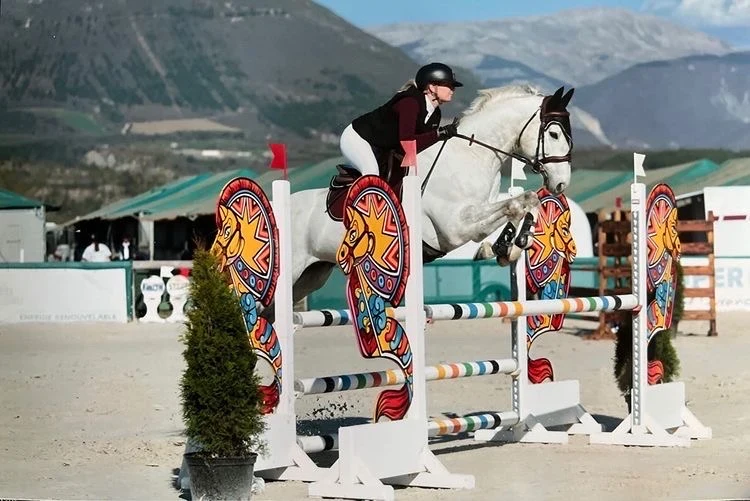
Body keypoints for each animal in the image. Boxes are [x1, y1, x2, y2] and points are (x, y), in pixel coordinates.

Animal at [282, 86, 576, 312]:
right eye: (554, 134)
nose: (561, 183)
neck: (470, 154)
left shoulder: (476, 215)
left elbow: (528, 200)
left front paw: (509, 246)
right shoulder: (457, 227)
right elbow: (514, 205)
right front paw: (503, 246)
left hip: (312, 275)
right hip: (294, 271)